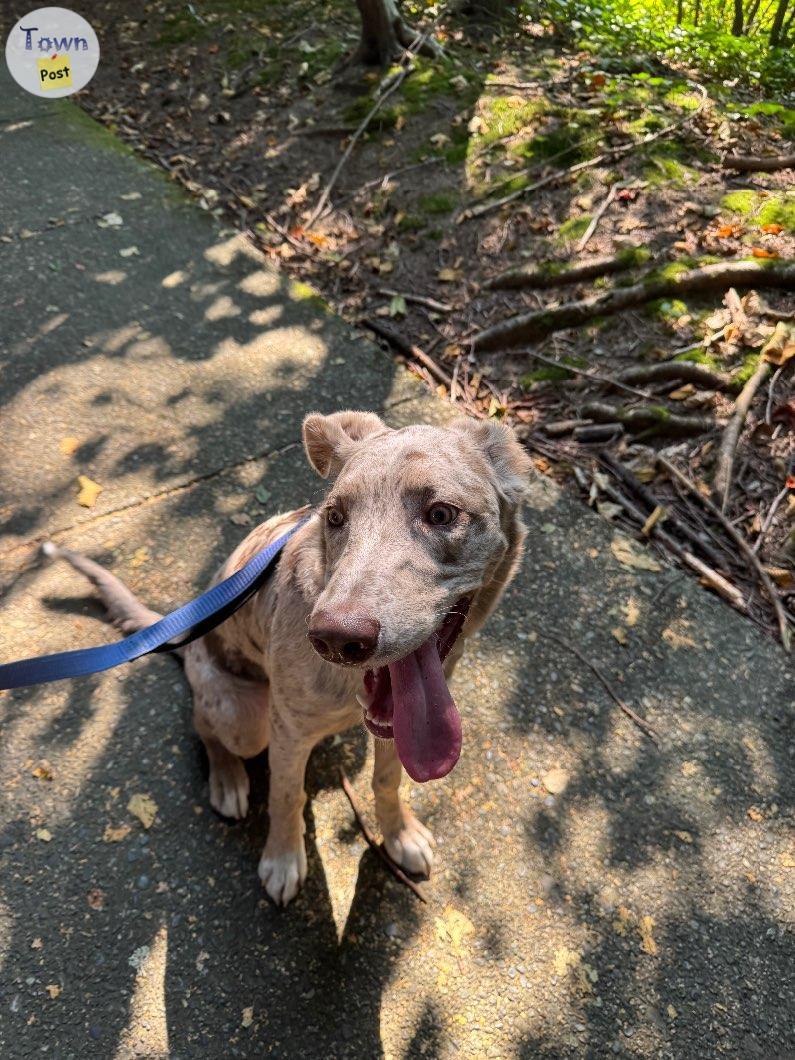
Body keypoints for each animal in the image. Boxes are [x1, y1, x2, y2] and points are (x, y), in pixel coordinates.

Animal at [48, 411, 530, 903]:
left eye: (441, 514)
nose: (335, 639)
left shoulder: (398, 731)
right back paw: (227, 777)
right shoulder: (287, 731)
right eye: (334, 517)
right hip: (246, 719)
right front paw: (283, 858)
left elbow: (387, 779)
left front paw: (399, 835)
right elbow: (286, 796)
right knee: (203, 723)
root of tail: (187, 637)